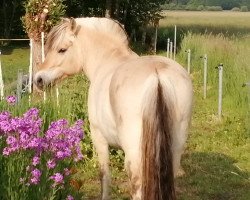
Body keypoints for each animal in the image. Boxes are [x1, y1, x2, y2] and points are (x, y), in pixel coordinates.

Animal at [33, 17, 193, 200]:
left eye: (62, 50)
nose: (38, 79)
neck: (107, 60)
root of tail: (157, 76)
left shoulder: (99, 138)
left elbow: (104, 176)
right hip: (175, 150)